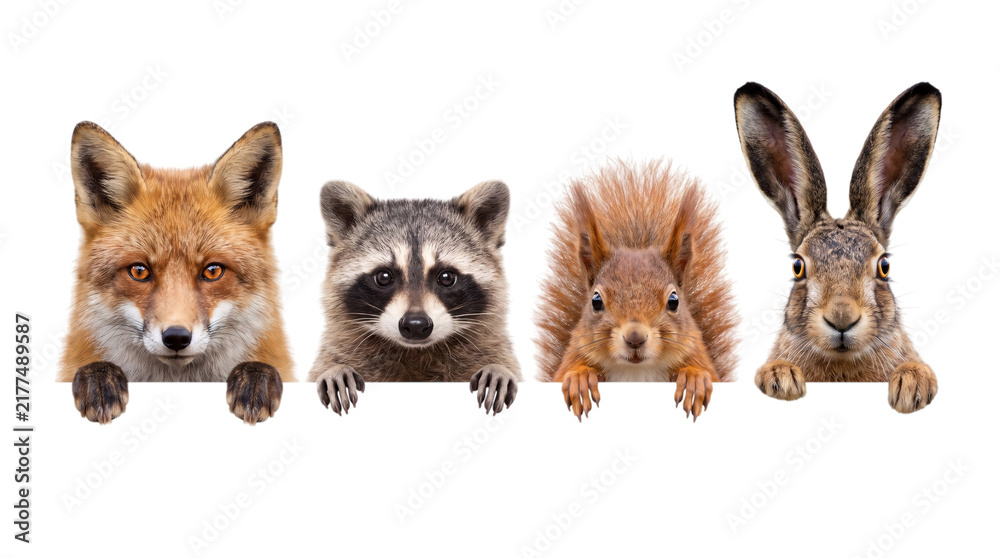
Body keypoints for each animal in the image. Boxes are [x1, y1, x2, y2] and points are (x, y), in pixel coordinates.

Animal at [534, 161, 739, 422]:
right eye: (596, 301)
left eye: (674, 301)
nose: (635, 338)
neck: (636, 373)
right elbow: (565, 374)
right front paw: (580, 379)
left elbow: (707, 373)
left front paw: (694, 379)